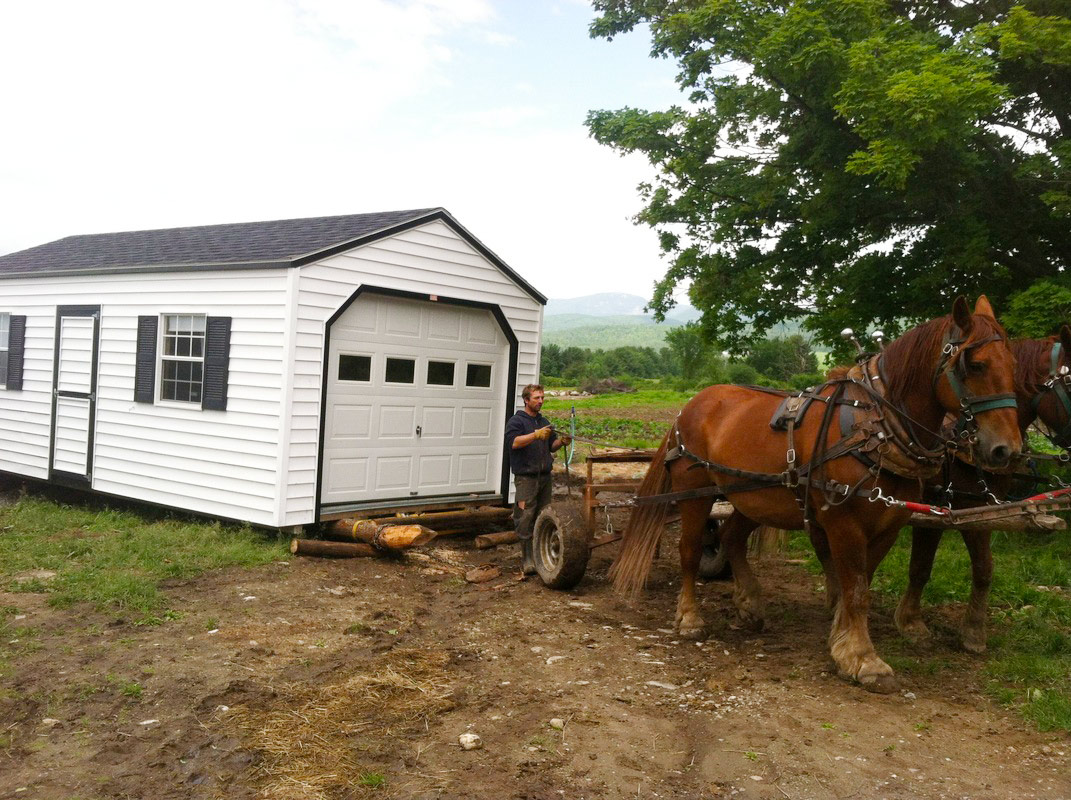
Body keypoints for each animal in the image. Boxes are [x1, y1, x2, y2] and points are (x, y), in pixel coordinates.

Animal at [612, 297, 1019, 689]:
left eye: (1013, 364)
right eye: (975, 365)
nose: (1006, 450)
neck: (876, 428)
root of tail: (691, 405)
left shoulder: (889, 524)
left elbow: (860, 582)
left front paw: (841, 639)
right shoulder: (843, 522)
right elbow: (856, 588)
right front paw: (864, 659)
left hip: (752, 495)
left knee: (730, 537)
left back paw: (750, 604)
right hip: (695, 492)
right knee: (690, 550)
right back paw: (690, 617)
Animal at [895, 327, 1071, 655]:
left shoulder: (983, 510)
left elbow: (984, 568)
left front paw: (973, 630)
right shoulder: (940, 509)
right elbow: (922, 566)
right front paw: (911, 622)